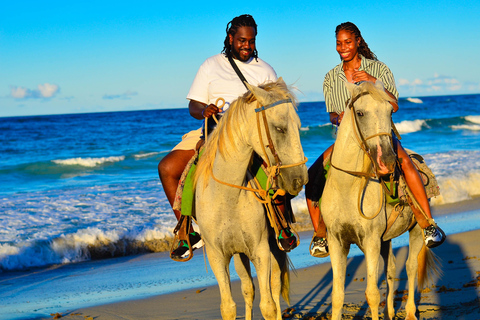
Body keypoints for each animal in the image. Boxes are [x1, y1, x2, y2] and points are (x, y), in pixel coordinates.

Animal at [194, 78, 310, 320]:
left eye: (298, 126)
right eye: (279, 128)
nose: (299, 178)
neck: (227, 198)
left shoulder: (261, 251)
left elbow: (269, 305)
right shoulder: (218, 256)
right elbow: (229, 306)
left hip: (274, 247)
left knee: (275, 287)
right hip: (239, 254)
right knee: (248, 289)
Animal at [320, 81, 440, 320]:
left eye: (390, 111)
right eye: (360, 113)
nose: (387, 161)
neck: (348, 188)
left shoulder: (371, 240)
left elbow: (372, 294)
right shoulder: (337, 241)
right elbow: (337, 295)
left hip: (415, 230)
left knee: (411, 267)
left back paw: (410, 312)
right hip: (386, 239)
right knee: (391, 269)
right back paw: (390, 312)